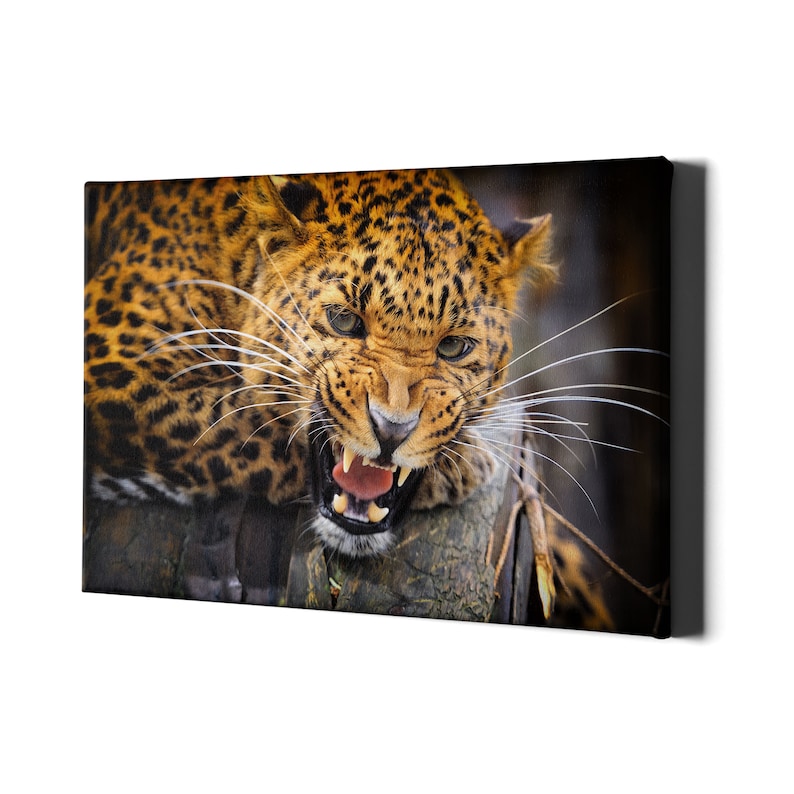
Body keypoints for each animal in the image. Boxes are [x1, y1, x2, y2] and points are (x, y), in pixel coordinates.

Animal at [84, 168, 610, 626]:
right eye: (344, 321)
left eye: (454, 347)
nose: (392, 429)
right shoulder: (114, 369)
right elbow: (241, 426)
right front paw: (463, 468)